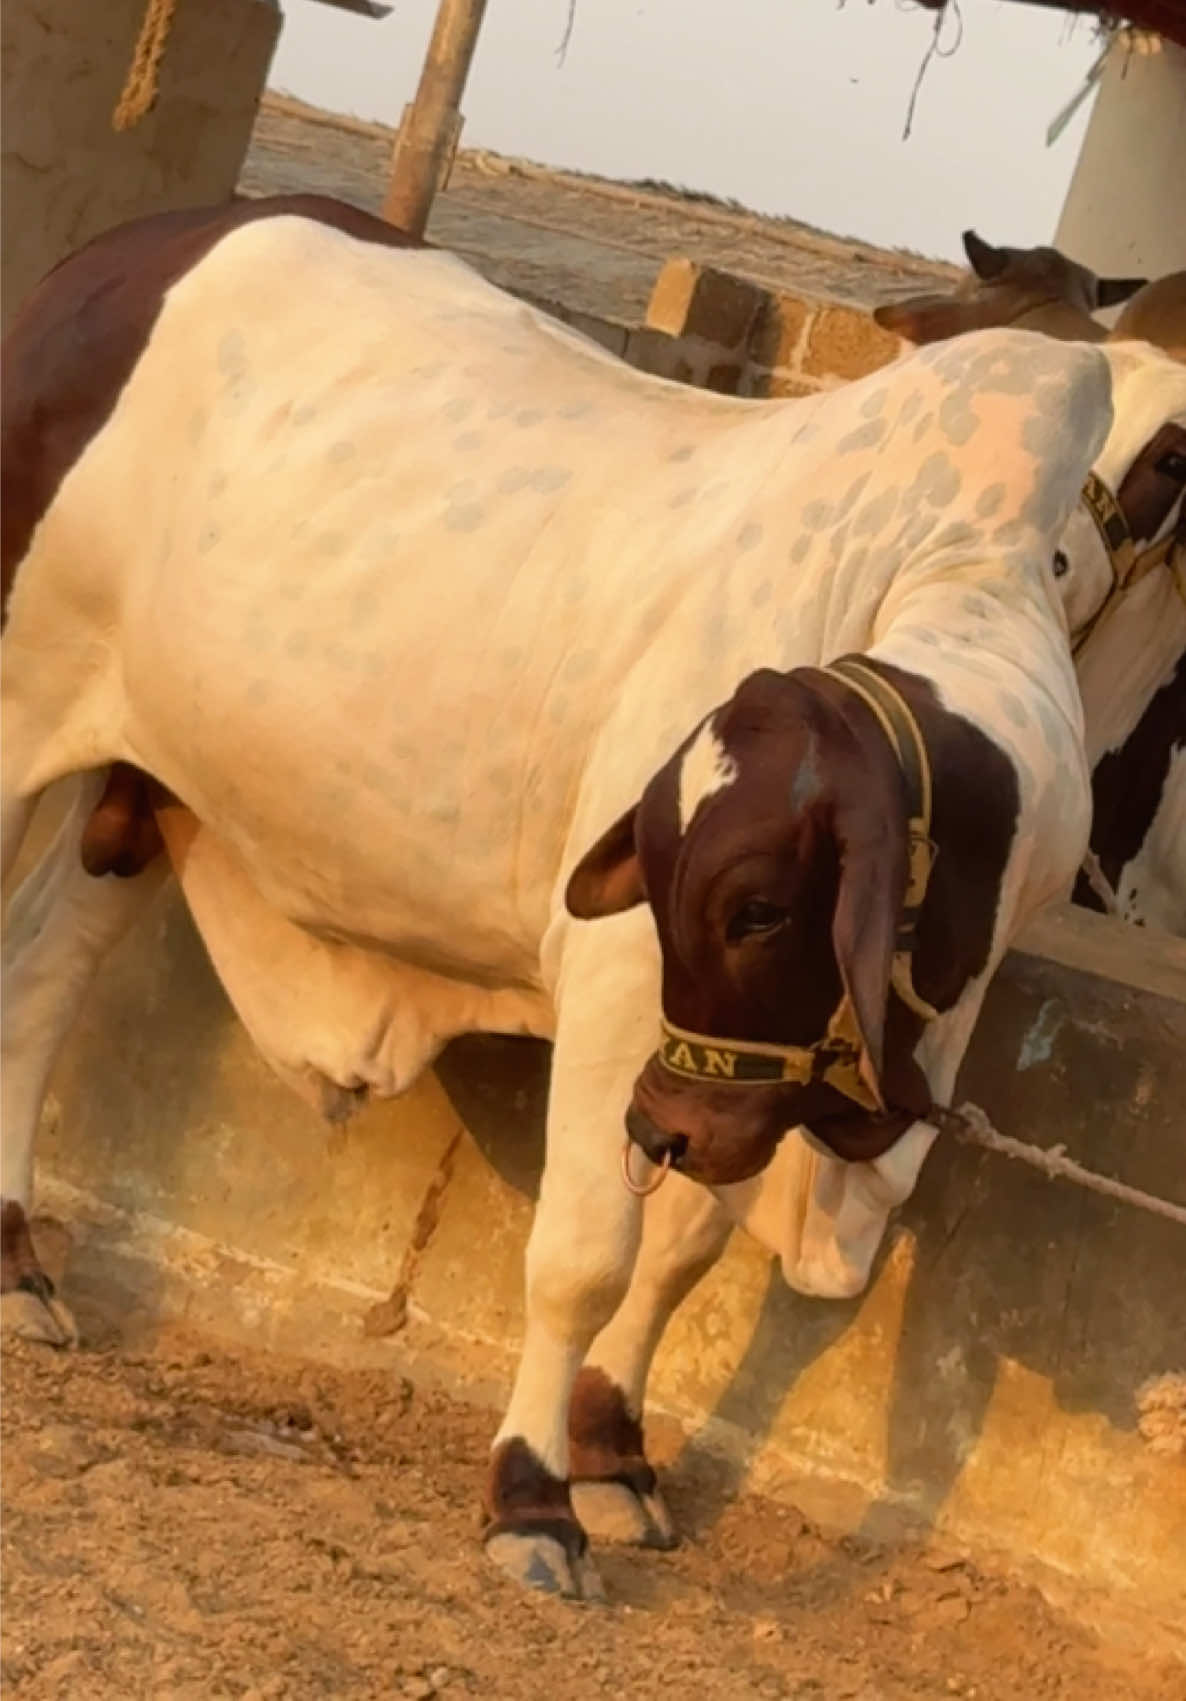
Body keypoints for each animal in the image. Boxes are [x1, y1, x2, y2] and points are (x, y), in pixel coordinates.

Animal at [0, 194, 1162, 1603]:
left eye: (760, 907)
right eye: (670, 882)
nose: (663, 1123)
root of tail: (126, 252)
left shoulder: (739, 1077)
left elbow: (682, 1252)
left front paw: (614, 1454)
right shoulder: (626, 1009)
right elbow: (584, 1260)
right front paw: (532, 1497)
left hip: (144, 784)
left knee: (39, 979)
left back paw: (16, 1262)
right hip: (16, 703)